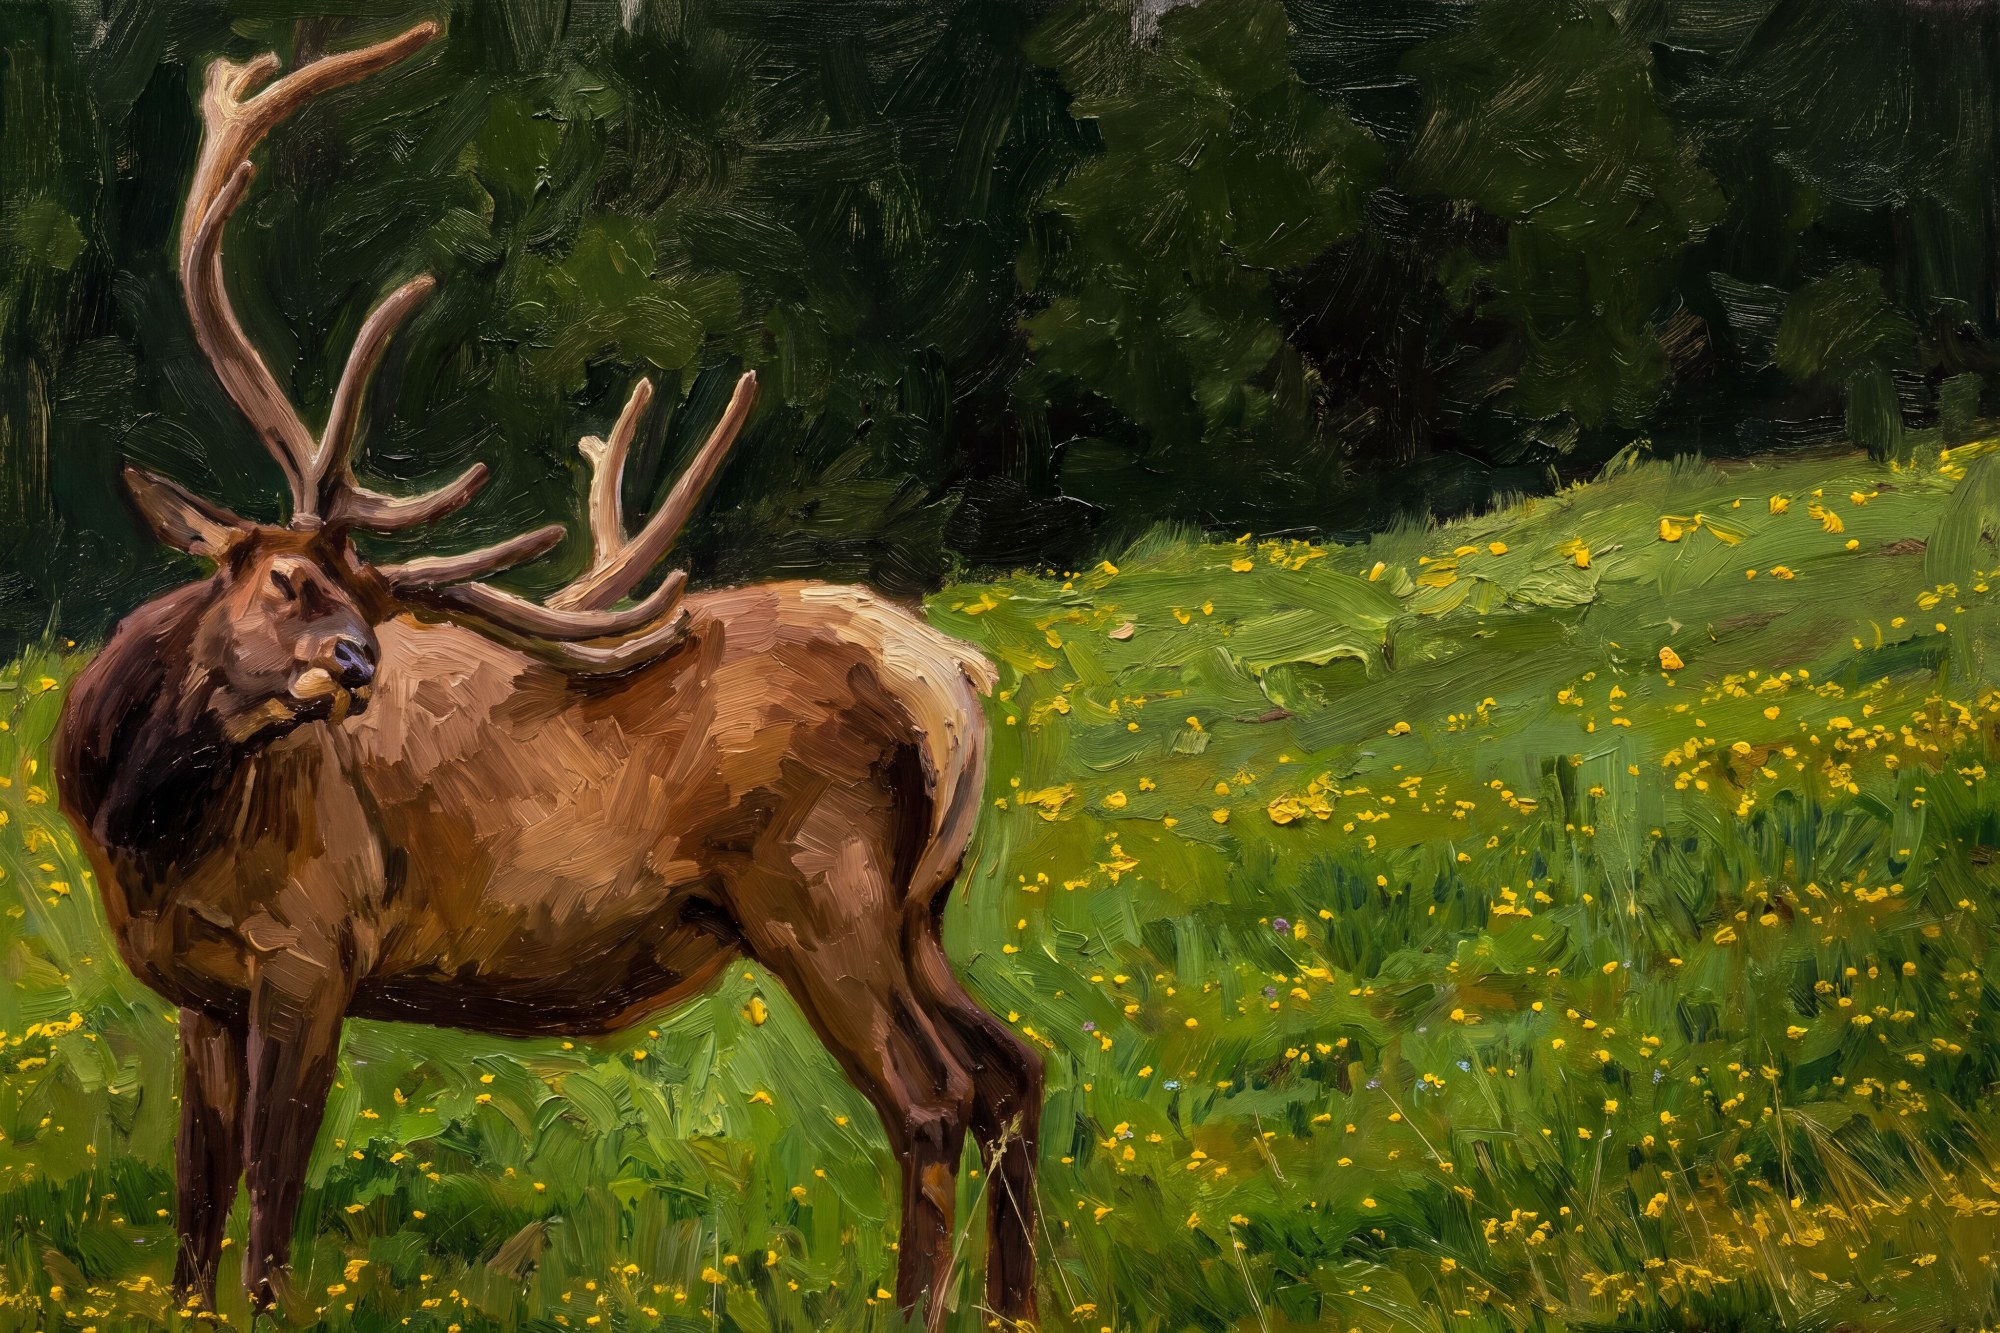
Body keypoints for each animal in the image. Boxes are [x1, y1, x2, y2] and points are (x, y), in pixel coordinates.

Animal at [51, 22, 1040, 1331]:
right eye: (284, 579)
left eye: (366, 600)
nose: (357, 665)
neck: (139, 820)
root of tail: (953, 677)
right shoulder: (199, 990)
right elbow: (193, 1197)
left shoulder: (315, 946)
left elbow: (268, 1189)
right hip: (916, 905)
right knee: (1011, 1066)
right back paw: (1022, 1304)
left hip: (820, 884)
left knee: (931, 1097)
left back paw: (916, 1306)